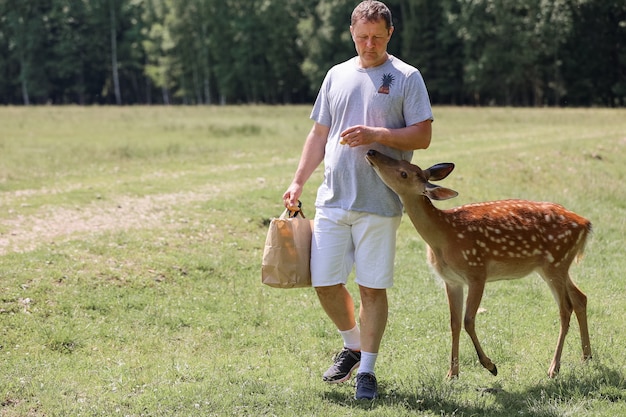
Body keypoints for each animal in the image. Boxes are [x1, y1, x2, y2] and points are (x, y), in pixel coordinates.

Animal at [364, 149, 588, 376]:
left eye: (404, 173)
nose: (372, 152)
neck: (444, 235)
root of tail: (586, 224)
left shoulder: (477, 272)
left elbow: (468, 320)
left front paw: (490, 365)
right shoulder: (451, 280)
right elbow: (454, 323)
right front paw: (452, 374)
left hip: (556, 262)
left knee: (565, 308)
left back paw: (554, 367)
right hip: (553, 266)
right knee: (580, 298)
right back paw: (586, 356)